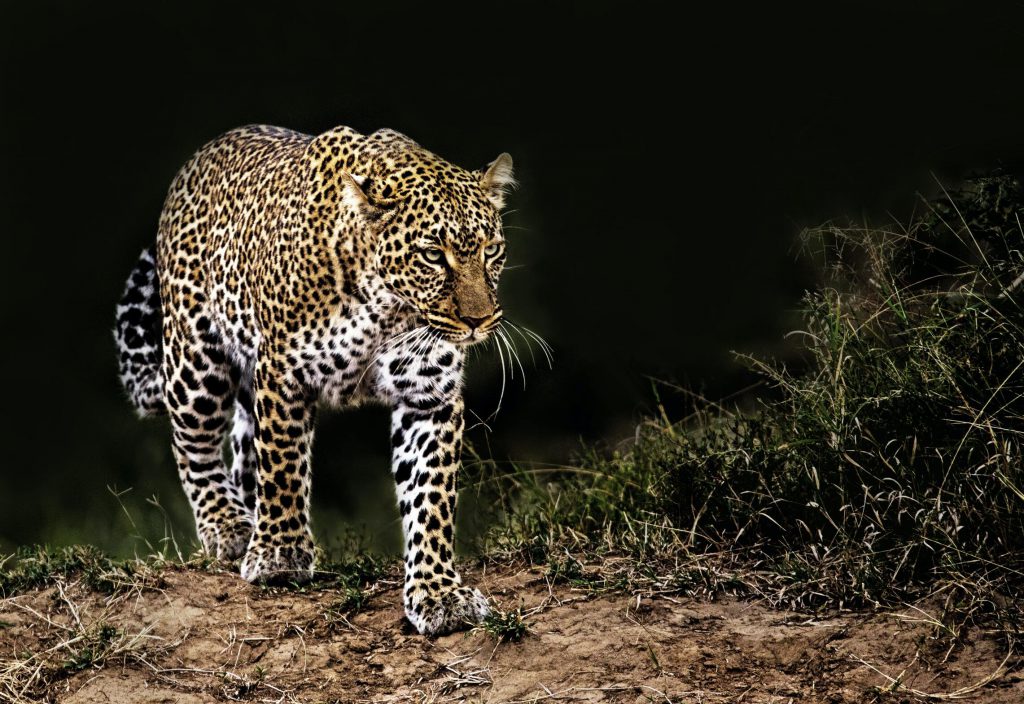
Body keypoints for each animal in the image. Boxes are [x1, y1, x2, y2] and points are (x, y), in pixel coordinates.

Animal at [113, 124, 519, 635]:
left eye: (492, 250)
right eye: (432, 255)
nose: (478, 321)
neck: (387, 306)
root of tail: (198, 158)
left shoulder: (429, 392)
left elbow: (431, 496)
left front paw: (438, 592)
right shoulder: (282, 371)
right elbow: (284, 466)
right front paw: (279, 556)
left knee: (244, 454)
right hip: (196, 359)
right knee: (194, 446)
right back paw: (230, 527)